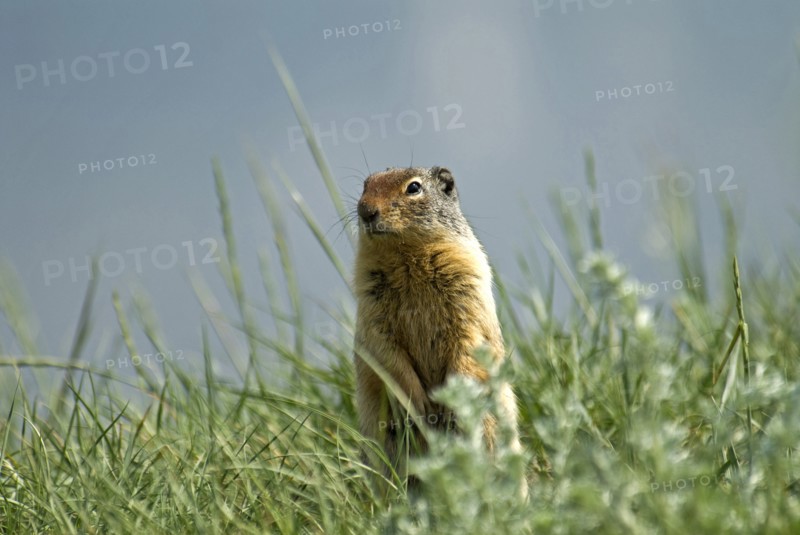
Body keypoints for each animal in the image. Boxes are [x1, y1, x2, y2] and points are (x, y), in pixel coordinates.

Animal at [352, 165, 523, 485]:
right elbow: (385, 350)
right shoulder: (371, 304)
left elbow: (469, 338)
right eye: (365, 185)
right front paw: (419, 404)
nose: (365, 211)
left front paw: (451, 401)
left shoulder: (467, 283)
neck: (407, 256)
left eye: (414, 187)